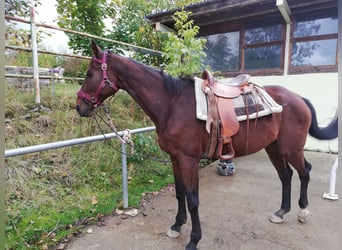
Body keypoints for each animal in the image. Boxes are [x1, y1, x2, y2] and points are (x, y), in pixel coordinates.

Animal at [77, 41, 336, 250]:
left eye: (89, 73)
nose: (79, 107)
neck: (172, 104)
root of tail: (298, 98)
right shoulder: (175, 158)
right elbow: (180, 193)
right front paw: (176, 226)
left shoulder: (189, 160)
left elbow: (193, 199)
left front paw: (194, 239)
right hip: (273, 147)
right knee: (286, 176)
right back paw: (281, 212)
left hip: (291, 149)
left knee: (304, 172)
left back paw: (303, 212)